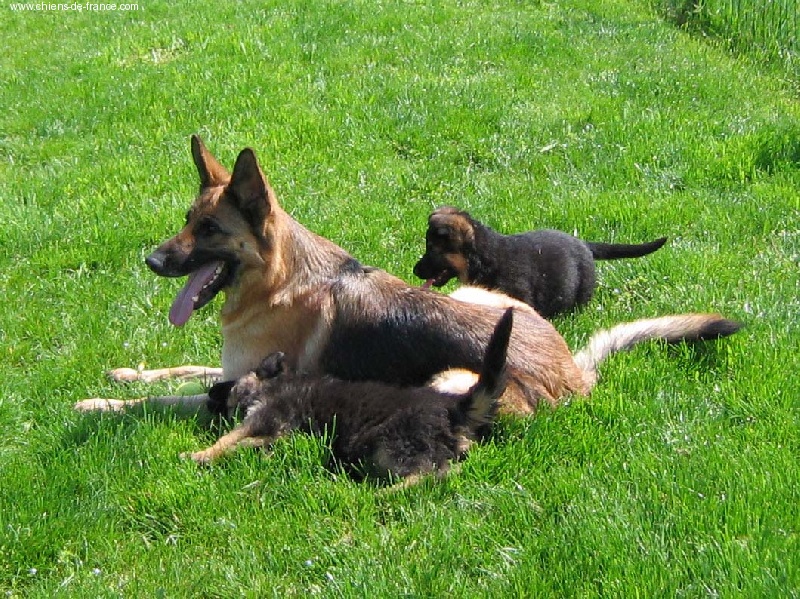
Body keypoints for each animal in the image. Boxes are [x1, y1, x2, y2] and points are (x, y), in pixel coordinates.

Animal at [73, 137, 736, 418]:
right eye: (187, 221)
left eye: (209, 229)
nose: (152, 262)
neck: (277, 281)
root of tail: (573, 371)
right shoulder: (229, 366)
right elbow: (178, 369)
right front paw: (127, 371)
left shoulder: (242, 382)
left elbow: (167, 397)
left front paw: (102, 404)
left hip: (455, 376)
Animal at [185, 310, 516, 482]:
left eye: (231, 383)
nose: (211, 392)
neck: (275, 383)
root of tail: (453, 405)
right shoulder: (278, 432)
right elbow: (246, 443)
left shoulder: (265, 416)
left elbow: (229, 437)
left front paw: (201, 454)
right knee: (448, 468)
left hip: (393, 444)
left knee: (427, 474)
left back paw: (387, 493)